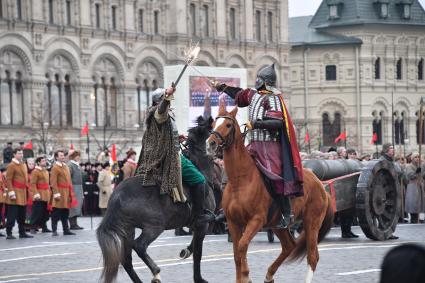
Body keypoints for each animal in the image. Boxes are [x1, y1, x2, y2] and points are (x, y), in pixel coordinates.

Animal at [205, 106, 332, 283]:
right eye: (213, 124)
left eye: (228, 125)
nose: (210, 143)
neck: (241, 180)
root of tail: (320, 184)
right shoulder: (233, 222)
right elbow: (237, 254)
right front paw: (244, 276)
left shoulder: (256, 220)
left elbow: (242, 246)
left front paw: (246, 275)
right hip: (277, 225)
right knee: (289, 246)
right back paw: (269, 275)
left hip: (311, 222)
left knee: (312, 256)